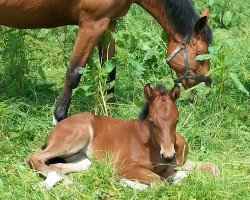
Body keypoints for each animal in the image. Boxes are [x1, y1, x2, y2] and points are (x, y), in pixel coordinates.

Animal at [26, 84, 219, 189]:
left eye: (176, 120)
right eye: (152, 121)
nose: (168, 155)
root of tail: (58, 126)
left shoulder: (180, 163)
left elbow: (213, 168)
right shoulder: (126, 167)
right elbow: (159, 182)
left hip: (84, 160)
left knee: (58, 166)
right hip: (72, 139)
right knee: (34, 158)